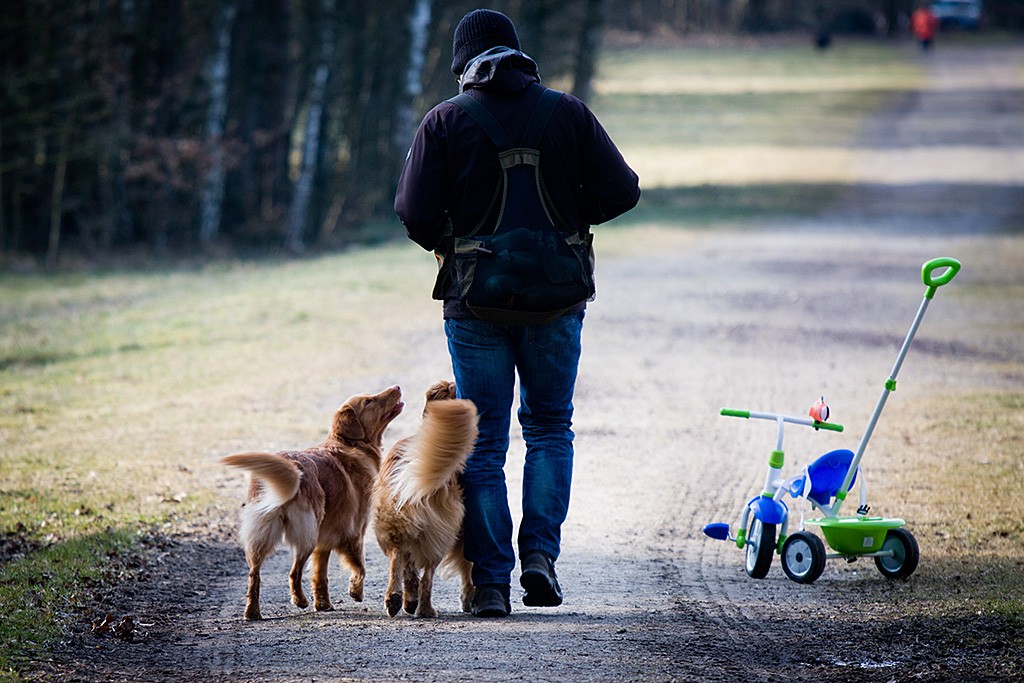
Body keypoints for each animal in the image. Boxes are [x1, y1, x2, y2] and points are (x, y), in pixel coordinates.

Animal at [224, 387, 403, 622]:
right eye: (368, 401)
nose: (397, 387)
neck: (352, 445)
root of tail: (290, 466)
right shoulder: (354, 531)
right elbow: (360, 566)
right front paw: (355, 591)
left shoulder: (325, 539)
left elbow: (320, 574)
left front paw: (323, 604)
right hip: (307, 532)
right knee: (294, 572)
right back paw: (299, 601)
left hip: (264, 534)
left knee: (254, 574)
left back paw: (253, 612)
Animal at [372, 382, 475, 618]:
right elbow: (468, 566)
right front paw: (468, 598)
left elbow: (408, 566)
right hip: (441, 533)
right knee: (427, 575)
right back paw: (425, 609)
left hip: (395, 520)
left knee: (398, 557)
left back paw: (398, 599)